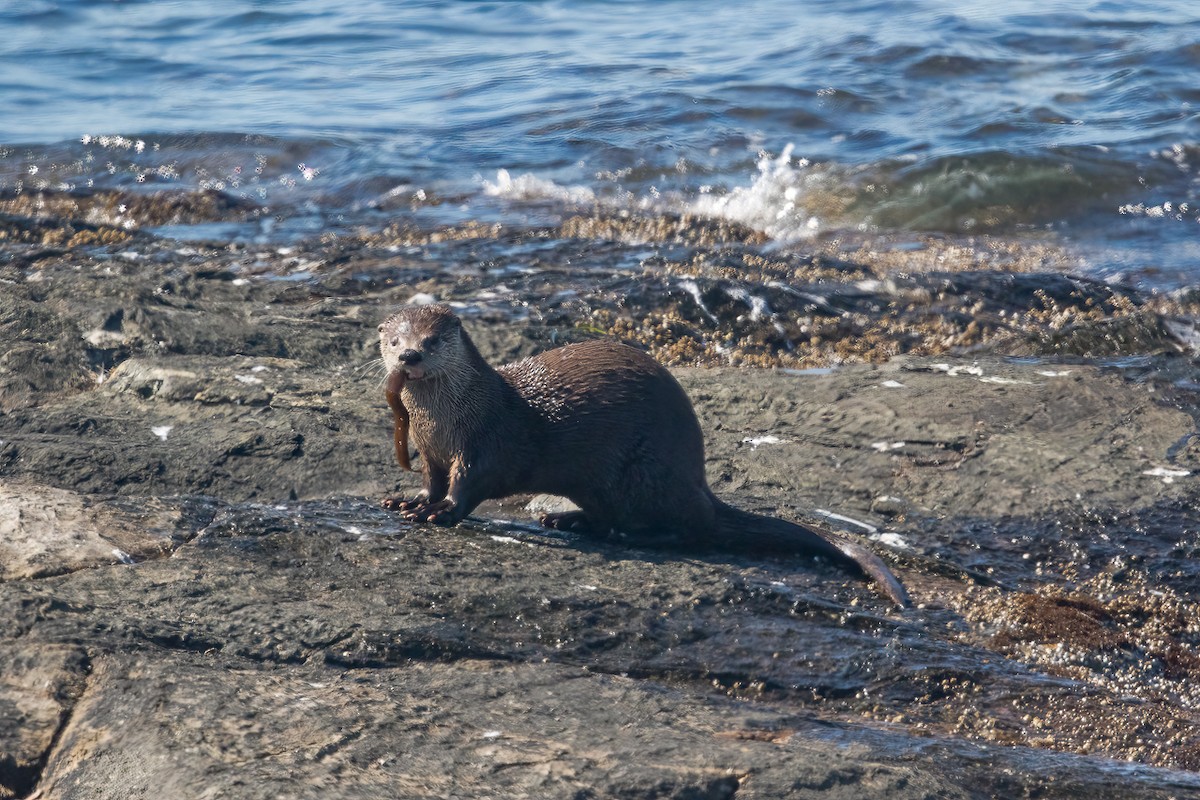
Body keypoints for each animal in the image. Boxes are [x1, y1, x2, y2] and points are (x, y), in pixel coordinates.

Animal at [378, 304, 909, 608]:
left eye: (432, 340)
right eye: (394, 339)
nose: (409, 357)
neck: (450, 417)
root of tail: (700, 483)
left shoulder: (485, 442)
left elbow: (468, 487)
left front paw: (440, 512)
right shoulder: (432, 451)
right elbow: (431, 478)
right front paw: (409, 501)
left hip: (648, 473)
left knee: (691, 529)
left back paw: (634, 536)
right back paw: (568, 520)